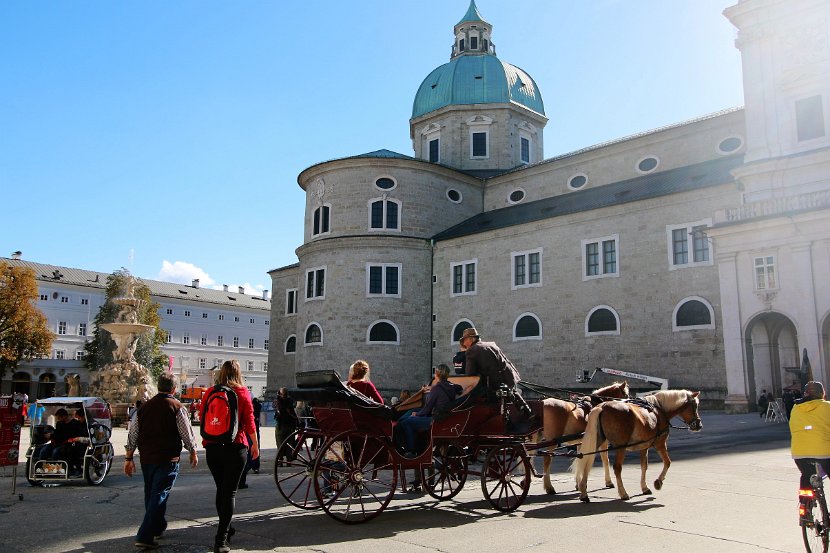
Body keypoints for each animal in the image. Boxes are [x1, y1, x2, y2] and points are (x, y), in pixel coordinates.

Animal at [576, 388, 704, 500]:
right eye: (695, 406)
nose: (699, 425)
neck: (659, 410)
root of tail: (602, 407)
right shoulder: (660, 444)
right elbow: (667, 462)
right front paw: (658, 482)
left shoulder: (644, 446)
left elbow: (644, 466)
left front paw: (644, 487)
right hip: (621, 447)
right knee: (617, 468)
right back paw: (623, 493)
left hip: (597, 441)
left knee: (587, 461)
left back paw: (584, 492)